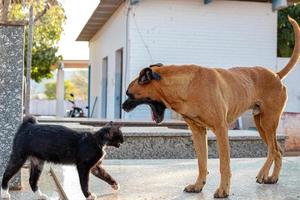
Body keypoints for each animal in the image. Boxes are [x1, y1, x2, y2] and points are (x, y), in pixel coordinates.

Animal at [122, 17, 300, 198]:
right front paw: (198, 185)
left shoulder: (221, 129)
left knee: (273, 150)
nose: (123, 107)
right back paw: (272, 177)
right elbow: (202, 163)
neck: (186, 86)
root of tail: (276, 75)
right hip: (261, 124)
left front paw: (223, 190)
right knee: (278, 150)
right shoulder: (198, 132)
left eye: (129, 94)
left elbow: (224, 165)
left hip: (268, 122)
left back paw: (263, 174)